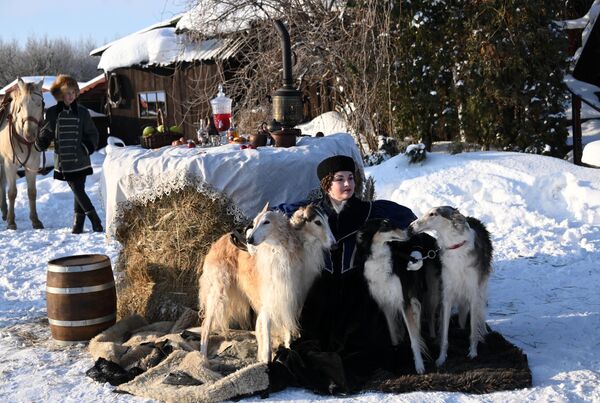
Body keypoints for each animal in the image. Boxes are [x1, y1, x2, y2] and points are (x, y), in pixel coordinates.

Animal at [0, 78, 44, 230]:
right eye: (20, 106)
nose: (29, 134)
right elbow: (12, 192)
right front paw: (11, 222)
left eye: (39, 103)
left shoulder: (33, 165)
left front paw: (35, 220)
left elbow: (32, 192)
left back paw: (4, 211)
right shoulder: (10, 164)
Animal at [199, 204, 336, 364]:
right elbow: (268, 340)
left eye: (326, 220)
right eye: (317, 222)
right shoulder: (270, 303)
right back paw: (203, 359)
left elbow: (287, 333)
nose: (334, 245)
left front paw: (287, 353)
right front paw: (268, 361)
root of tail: (220, 240)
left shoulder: (291, 300)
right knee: (205, 326)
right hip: (218, 292)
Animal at [356, 219, 440, 374]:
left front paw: (419, 365)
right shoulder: (386, 305)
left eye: (390, 222)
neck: (379, 259)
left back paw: (433, 339)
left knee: (431, 316)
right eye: (385, 225)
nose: (409, 231)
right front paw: (396, 360)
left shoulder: (404, 302)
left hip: (432, 292)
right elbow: (394, 337)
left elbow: (414, 339)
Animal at [408, 207, 492, 368]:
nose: (410, 227)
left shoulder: (473, 293)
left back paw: (483, 331)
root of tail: (472, 217)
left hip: (482, 287)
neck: (455, 247)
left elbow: (473, 330)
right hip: (435, 293)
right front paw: (441, 358)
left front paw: (473, 352)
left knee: (481, 311)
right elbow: (445, 336)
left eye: (432, 214)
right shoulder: (447, 296)